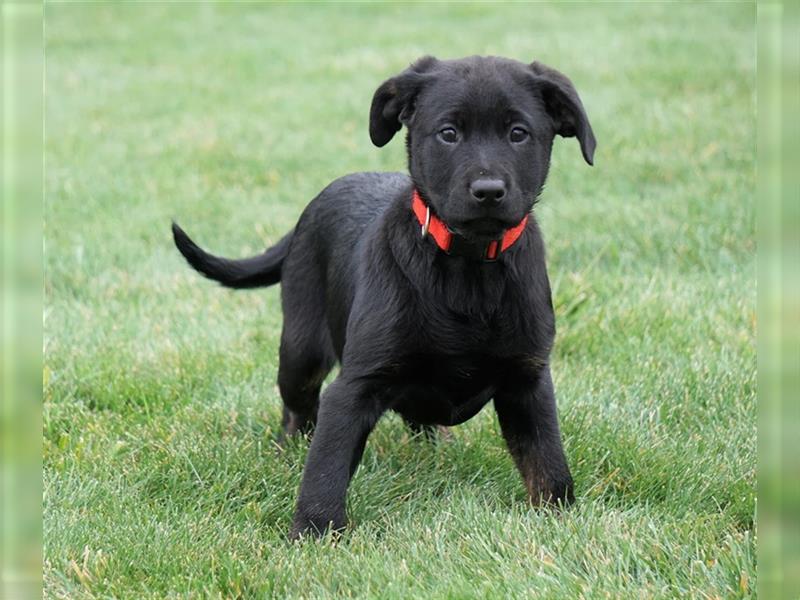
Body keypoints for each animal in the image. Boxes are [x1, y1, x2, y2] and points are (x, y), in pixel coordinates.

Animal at [170, 55, 592, 540]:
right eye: (448, 133)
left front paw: (558, 519)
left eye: (518, 133)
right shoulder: (355, 385)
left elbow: (547, 461)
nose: (488, 191)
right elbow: (326, 465)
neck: (468, 266)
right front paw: (313, 532)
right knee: (298, 410)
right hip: (300, 350)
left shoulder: (527, 379)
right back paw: (287, 451)